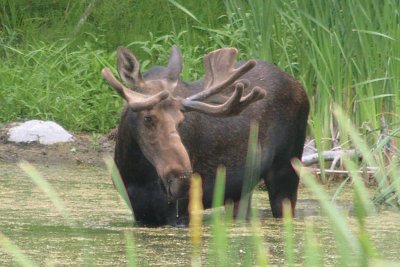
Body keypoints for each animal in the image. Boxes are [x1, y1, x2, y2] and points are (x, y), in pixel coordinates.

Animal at [101, 45, 310, 226]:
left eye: (180, 120)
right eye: (148, 118)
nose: (181, 179)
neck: (137, 174)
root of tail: (300, 86)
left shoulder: (180, 211)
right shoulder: (140, 211)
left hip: (286, 171)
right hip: (243, 188)